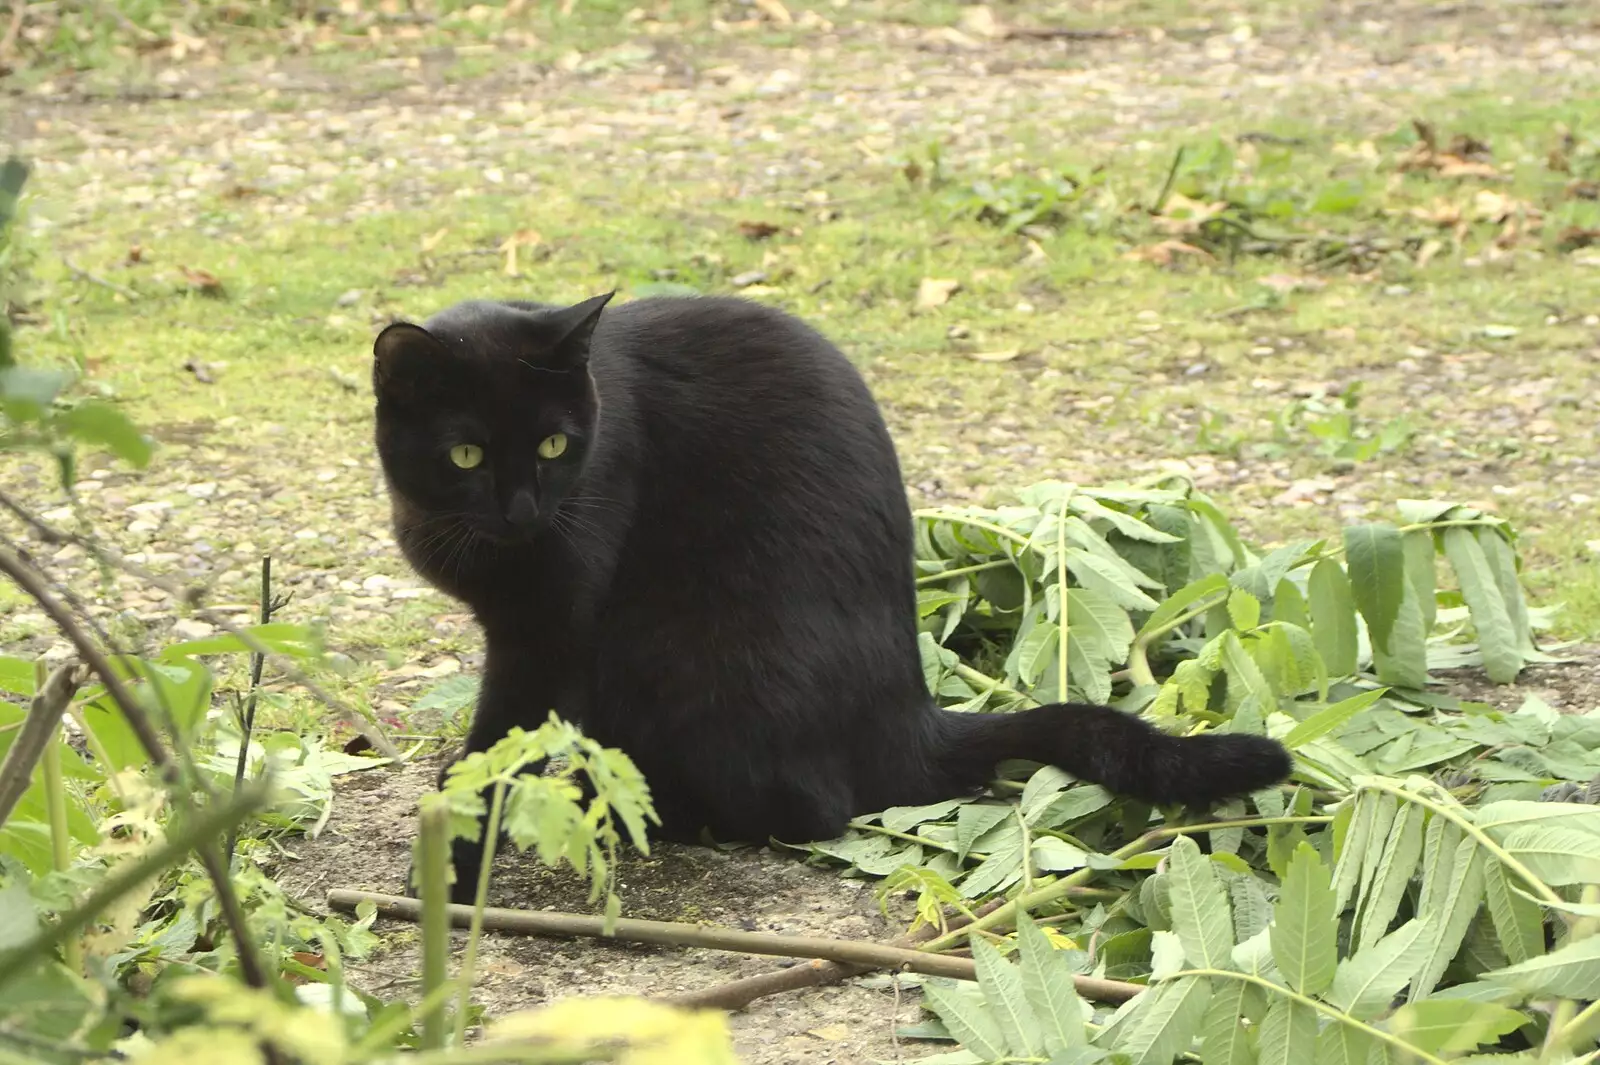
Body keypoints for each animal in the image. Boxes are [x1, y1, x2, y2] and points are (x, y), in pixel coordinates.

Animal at [368, 292, 1292, 895]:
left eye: (556, 445)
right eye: (466, 454)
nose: (524, 509)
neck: (458, 529)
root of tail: (912, 718)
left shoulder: (550, 632)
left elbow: (500, 743)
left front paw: (454, 856)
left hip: (676, 655)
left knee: (814, 806)